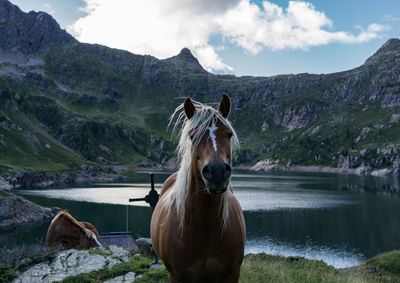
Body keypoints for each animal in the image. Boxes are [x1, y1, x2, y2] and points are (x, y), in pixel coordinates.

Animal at [150, 94, 244, 282]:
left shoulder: (232, 274)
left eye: (229, 134)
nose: (217, 171)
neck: (205, 227)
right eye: (193, 136)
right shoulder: (178, 276)